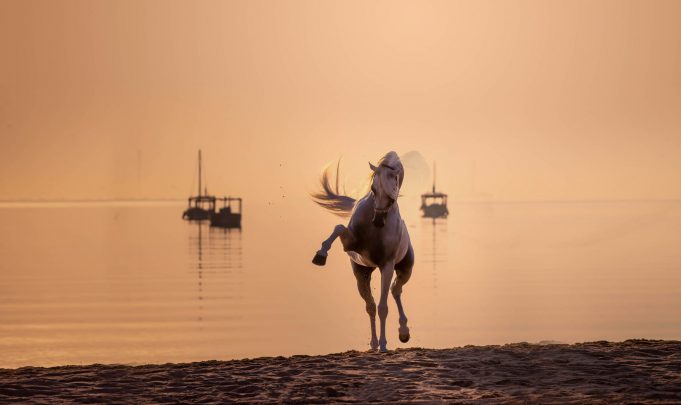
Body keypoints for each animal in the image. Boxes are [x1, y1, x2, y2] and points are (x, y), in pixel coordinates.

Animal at [311, 151, 414, 352]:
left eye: (393, 188)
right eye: (373, 188)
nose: (378, 221)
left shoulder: (387, 265)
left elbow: (384, 307)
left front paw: (384, 345)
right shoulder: (350, 244)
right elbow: (339, 228)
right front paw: (320, 255)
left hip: (405, 270)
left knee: (395, 291)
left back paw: (403, 332)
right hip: (361, 273)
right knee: (371, 305)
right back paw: (374, 344)